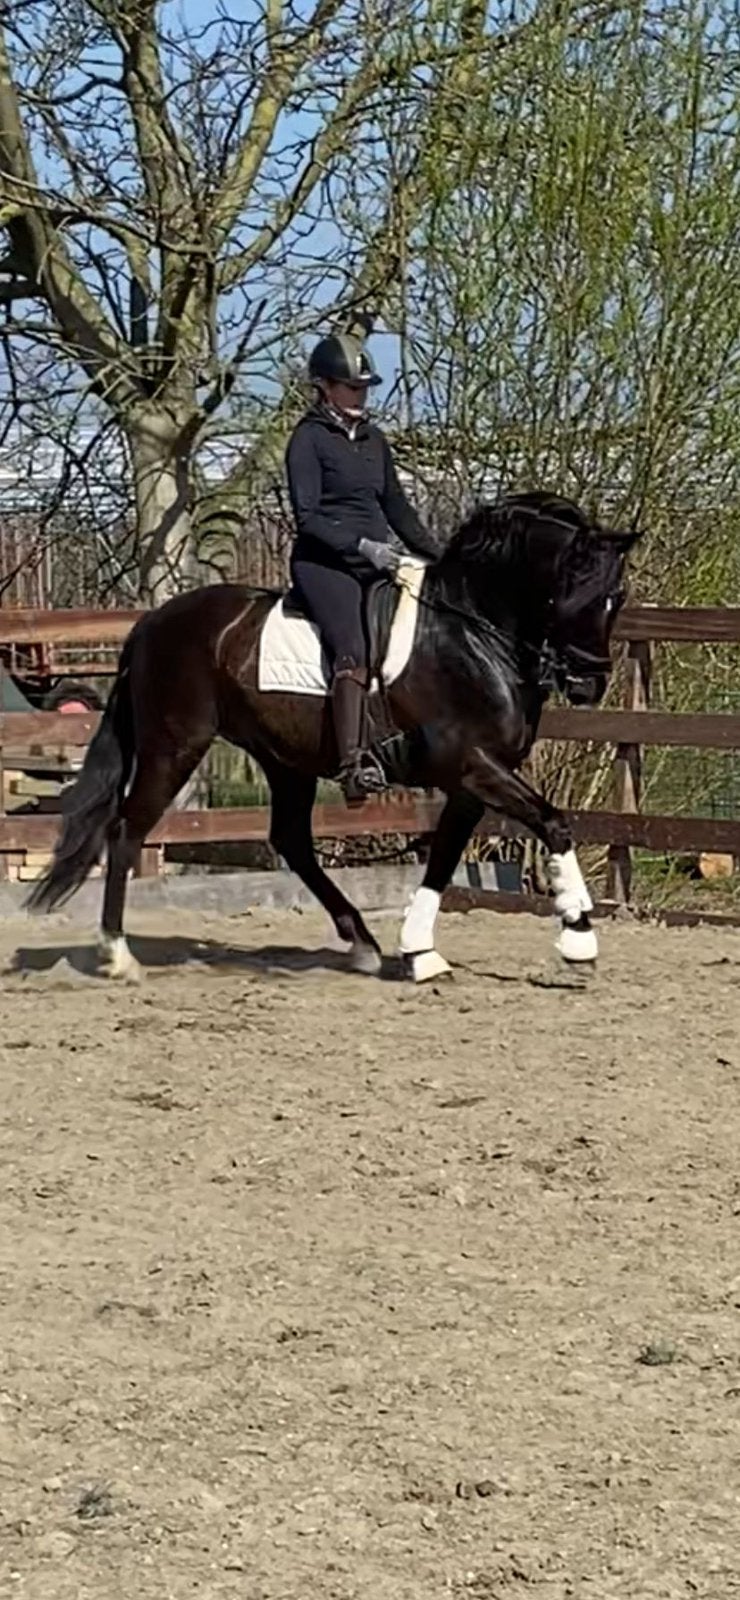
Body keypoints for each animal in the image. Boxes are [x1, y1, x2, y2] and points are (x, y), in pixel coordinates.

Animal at [27, 491, 640, 982]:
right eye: (576, 593)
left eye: (617, 598)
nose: (588, 683)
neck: (469, 632)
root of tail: (152, 623)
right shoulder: (473, 764)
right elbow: (554, 822)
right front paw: (578, 936)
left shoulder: (469, 780)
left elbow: (443, 858)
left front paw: (420, 953)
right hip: (174, 747)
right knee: (127, 831)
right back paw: (118, 955)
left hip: (285, 761)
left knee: (291, 841)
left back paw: (362, 943)